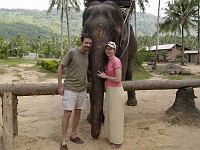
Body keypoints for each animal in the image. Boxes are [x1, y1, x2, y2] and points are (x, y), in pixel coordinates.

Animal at [82, 0, 138, 138]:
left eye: (114, 31)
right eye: (85, 29)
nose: (95, 136)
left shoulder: (124, 44)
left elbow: (120, 75)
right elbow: (90, 80)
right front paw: (91, 119)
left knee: (129, 72)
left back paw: (132, 103)